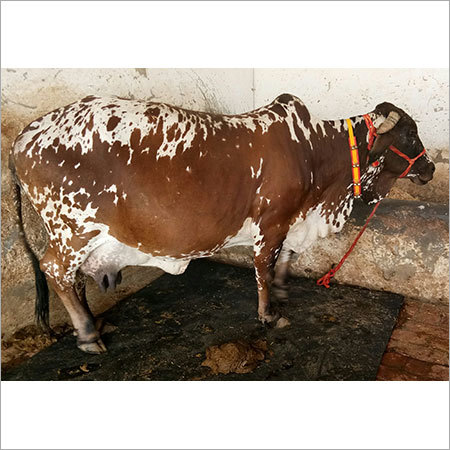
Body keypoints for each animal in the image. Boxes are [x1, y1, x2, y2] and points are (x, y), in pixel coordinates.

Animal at [9, 94, 432, 356]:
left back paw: (95, 324)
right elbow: (264, 268)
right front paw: (269, 314)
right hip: (72, 230)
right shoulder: (272, 222)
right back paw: (87, 334)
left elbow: (285, 259)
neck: (314, 155)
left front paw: (282, 292)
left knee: (74, 279)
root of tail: (24, 136)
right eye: (411, 134)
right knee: (56, 271)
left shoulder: (292, 222)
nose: (428, 167)